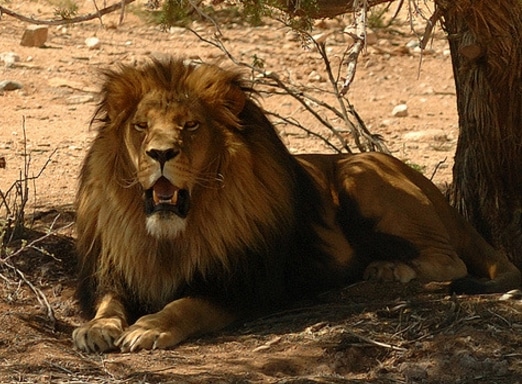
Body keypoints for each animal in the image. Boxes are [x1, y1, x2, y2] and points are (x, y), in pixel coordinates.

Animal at [71, 57, 516, 354]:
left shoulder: (245, 283)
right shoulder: (115, 270)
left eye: (191, 126)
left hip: (358, 171)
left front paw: (150, 327)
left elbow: (186, 304)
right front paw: (96, 328)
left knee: (451, 262)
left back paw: (386, 269)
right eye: (141, 126)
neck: (169, 236)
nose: (160, 153)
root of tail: (438, 193)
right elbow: (109, 303)